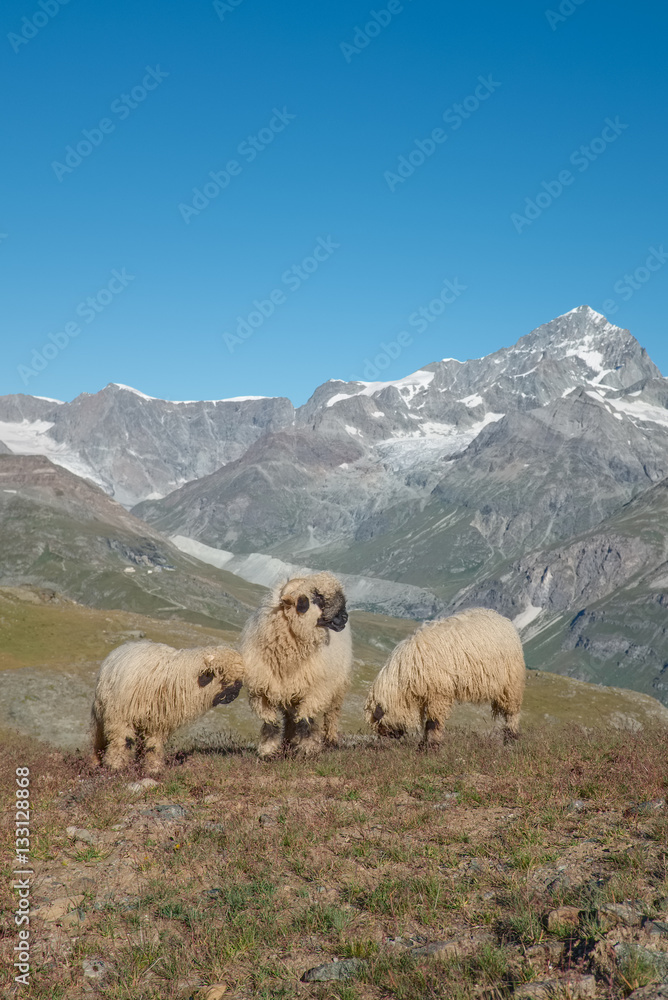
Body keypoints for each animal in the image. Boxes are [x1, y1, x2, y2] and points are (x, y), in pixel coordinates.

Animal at [91, 641, 244, 771]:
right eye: (223, 677)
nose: (234, 695)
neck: (177, 677)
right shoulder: (121, 718)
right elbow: (123, 741)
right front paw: (115, 766)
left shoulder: (157, 723)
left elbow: (153, 746)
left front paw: (153, 768)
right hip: (102, 711)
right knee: (100, 737)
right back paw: (97, 762)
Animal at [240, 571, 352, 758]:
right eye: (317, 598)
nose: (344, 617)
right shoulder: (262, 691)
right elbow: (270, 723)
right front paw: (268, 751)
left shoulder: (314, 691)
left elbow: (305, 721)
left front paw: (308, 749)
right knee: (289, 718)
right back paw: (288, 742)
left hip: (337, 688)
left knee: (331, 715)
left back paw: (331, 740)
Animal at [365, 608, 526, 748]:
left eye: (380, 723)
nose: (391, 738)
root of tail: (502, 618)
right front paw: (424, 744)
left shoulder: (438, 694)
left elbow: (433, 722)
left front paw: (431, 746)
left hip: (511, 682)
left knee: (512, 712)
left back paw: (511, 737)